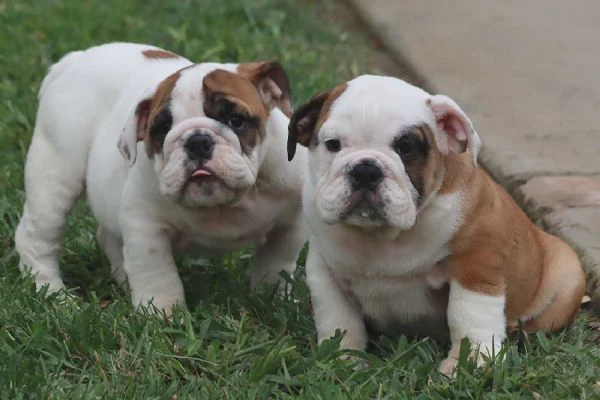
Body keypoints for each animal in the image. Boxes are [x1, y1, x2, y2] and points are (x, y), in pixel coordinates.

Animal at [15, 43, 308, 312]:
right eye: (163, 128)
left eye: (236, 120)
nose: (197, 141)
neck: (221, 206)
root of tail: (75, 59)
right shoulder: (146, 226)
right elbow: (157, 274)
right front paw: (162, 314)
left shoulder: (289, 224)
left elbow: (275, 263)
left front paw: (272, 300)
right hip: (55, 172)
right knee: (37, 237)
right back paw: (53, 294)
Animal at [288, 75, 584, 376]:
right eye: (332, 144)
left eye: (406, 147)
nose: (366, 170)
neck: (385, 237)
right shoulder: (325, 269)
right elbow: (338, 317)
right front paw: (342, 359)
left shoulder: (477, 260)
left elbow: (468, 313)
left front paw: (472, 362)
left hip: (567, 275)